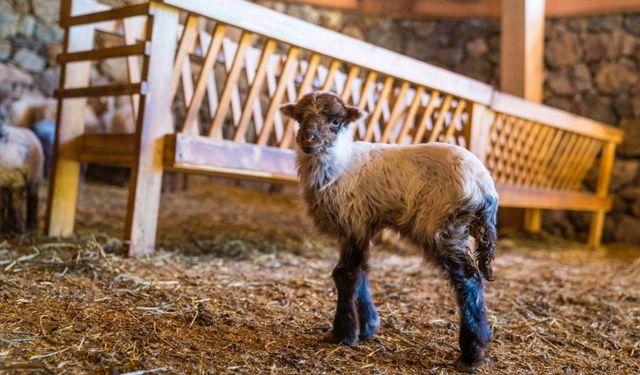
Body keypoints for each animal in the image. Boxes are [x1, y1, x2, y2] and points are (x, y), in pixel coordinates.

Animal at [282, 91, 500, 374]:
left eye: (336, 121)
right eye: (299, 118)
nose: (308, 138)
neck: (340, 164)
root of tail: (485, 187)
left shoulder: (352, 219)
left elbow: (345, 275)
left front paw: (343, 334)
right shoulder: (361, 224)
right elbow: (362, 271)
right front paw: (367, 327)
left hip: (444, 226)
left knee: (468, 280)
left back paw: (473, 353)